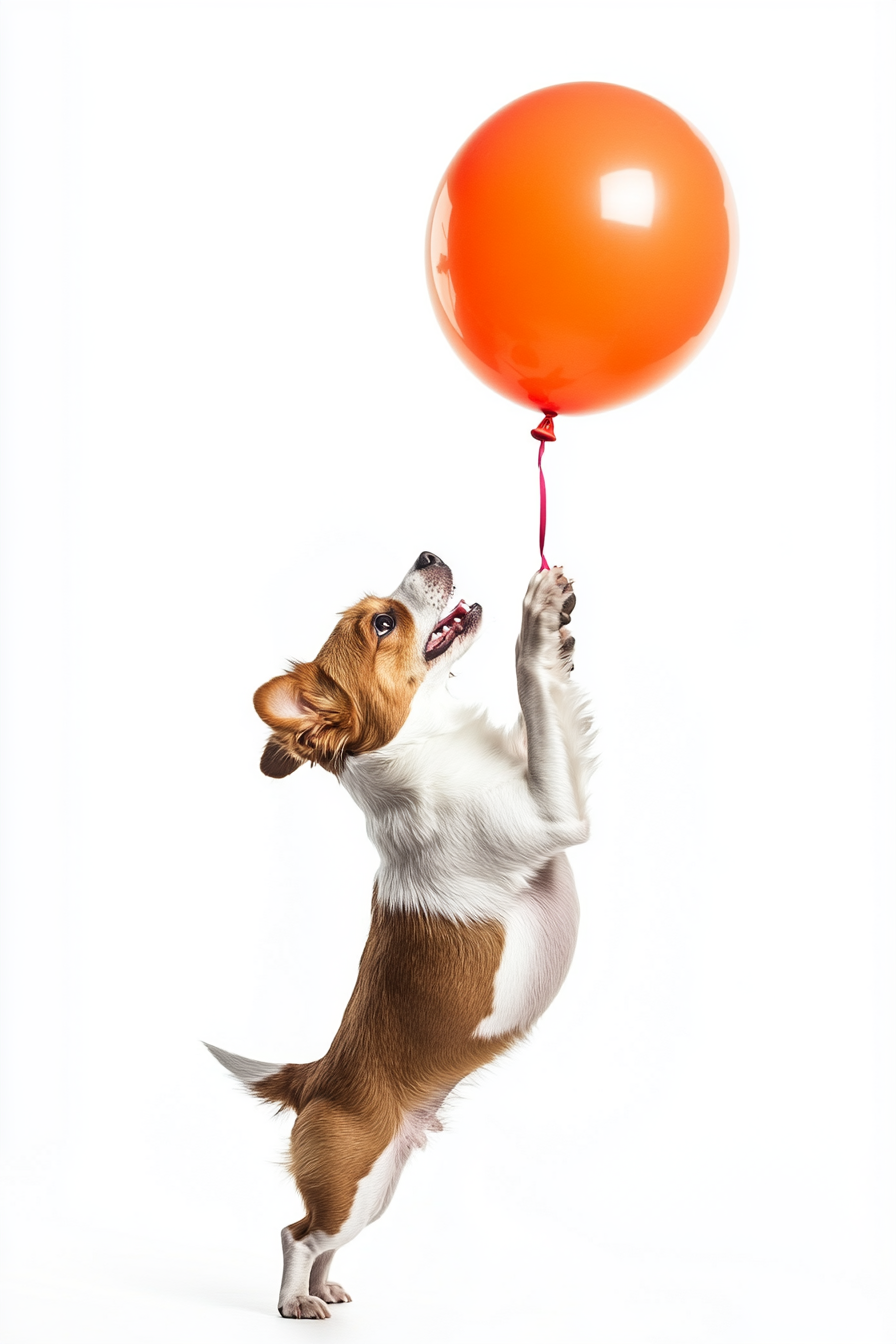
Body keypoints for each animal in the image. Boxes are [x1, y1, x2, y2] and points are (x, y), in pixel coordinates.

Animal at [205, 551, 591, 1317]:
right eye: (383, 624)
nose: (428, 555)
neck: (425, 740)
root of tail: (314, 1076)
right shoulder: (555, 813)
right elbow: (531, 690)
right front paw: (537, 620)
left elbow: (552, 711)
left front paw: (562, 638)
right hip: (354, 1183)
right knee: (298, 1232)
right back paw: (296, 1303)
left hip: (379, 1187)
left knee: (323, 1243)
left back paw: (327, 1290)